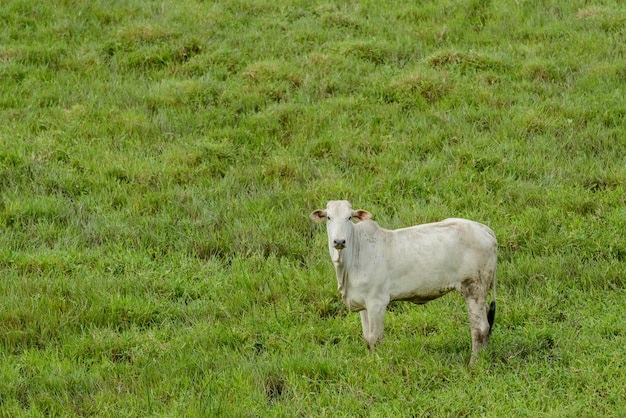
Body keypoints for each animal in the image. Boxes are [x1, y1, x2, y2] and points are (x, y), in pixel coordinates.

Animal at [310, 201, 494, 364]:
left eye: (349, 217)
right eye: (329, 217)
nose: (339, 241)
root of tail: (486, 230)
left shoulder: (377, 302)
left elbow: (375, 338)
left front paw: (377, 364)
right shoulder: (363, 303)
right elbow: (367, 338)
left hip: (474, 288)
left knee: (480, 328)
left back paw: (474, 364)